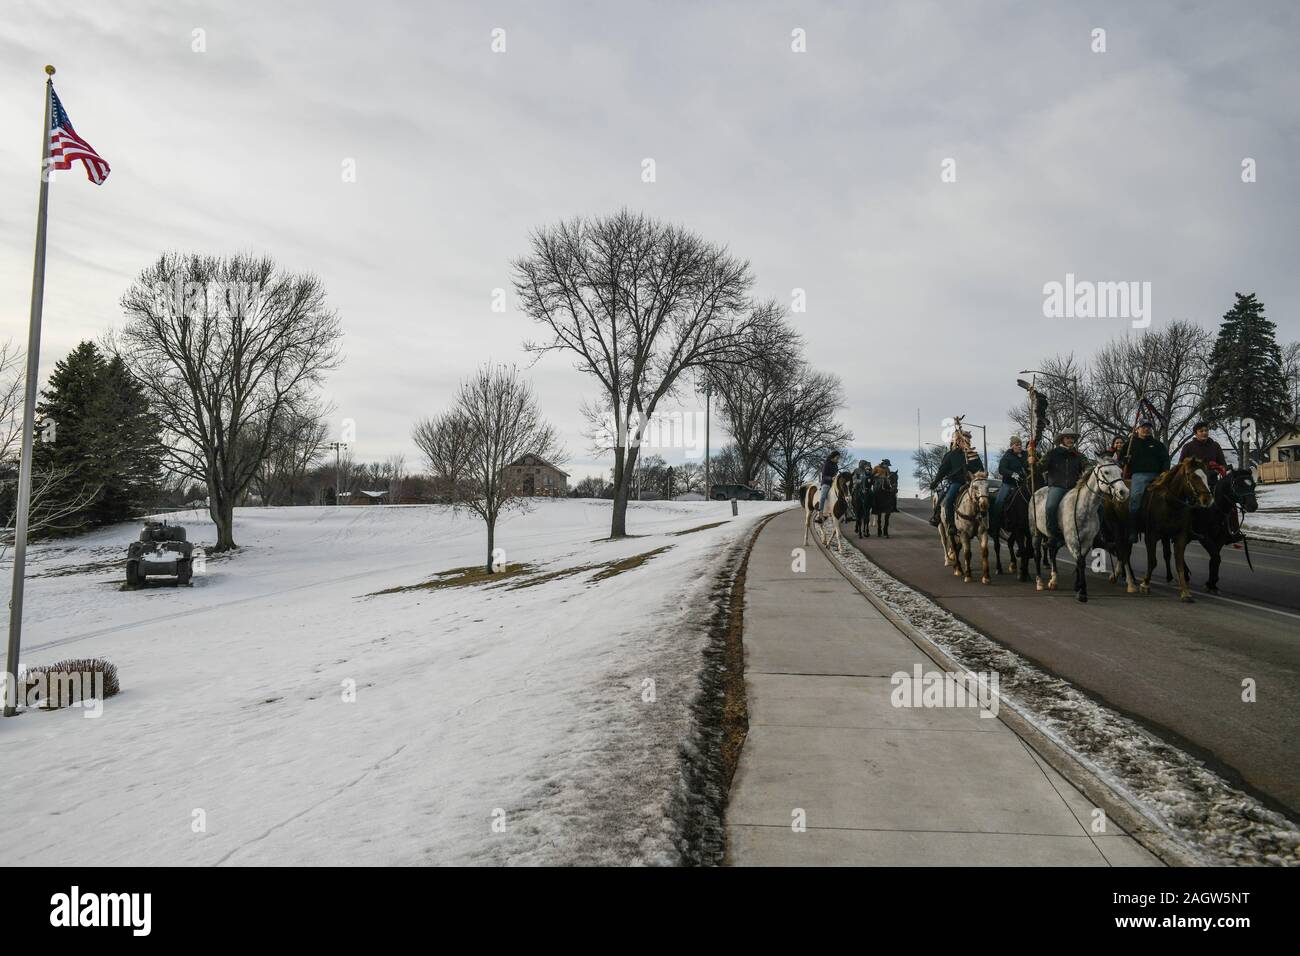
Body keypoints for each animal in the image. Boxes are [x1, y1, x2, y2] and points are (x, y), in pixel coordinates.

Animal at [1029, 460, 1123, 600]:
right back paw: (1039, 582)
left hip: (1057, 539)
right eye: (1106, 472)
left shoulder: (1087, 541)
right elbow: (1080, 562)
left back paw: (1054, 580)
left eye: (1121, 472)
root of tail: (1036, 493)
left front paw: (1077, 587)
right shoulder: (1073, 540)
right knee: (1037, 554)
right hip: (1036, 533)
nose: (1124, 491)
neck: (1085, 508)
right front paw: (1082, 592)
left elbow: (1080, 562)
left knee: (1053, 553)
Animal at [1138, 460, 1216, 600]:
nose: (1207, 500)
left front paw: (1185, 592)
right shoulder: (1151, 535)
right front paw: (1145, 583)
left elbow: (1179, 564)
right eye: (1193, 476)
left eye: (1206, 476)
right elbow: (1152, 561)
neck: (1170, 504)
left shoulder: (1180, 536)